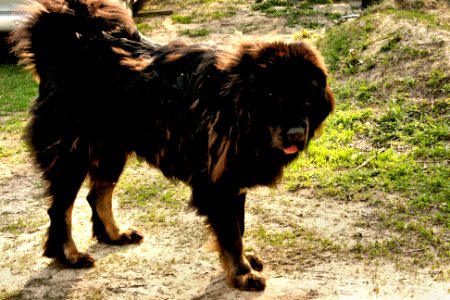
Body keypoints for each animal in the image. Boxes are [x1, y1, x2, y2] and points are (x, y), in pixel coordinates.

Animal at [12, 0, 334, 290]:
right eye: (274, 99)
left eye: (307, 101)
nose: (296, 133)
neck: (236, 108)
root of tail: (66, 47)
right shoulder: (216, 185)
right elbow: (231, 234)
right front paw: (242, 273)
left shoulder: (233, 180)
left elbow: (239, 227)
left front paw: (243, 262)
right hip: (72, 156)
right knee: (60, 210)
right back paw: (70, 256)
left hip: (111, 152)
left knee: (97, 195)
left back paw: (115, 235)